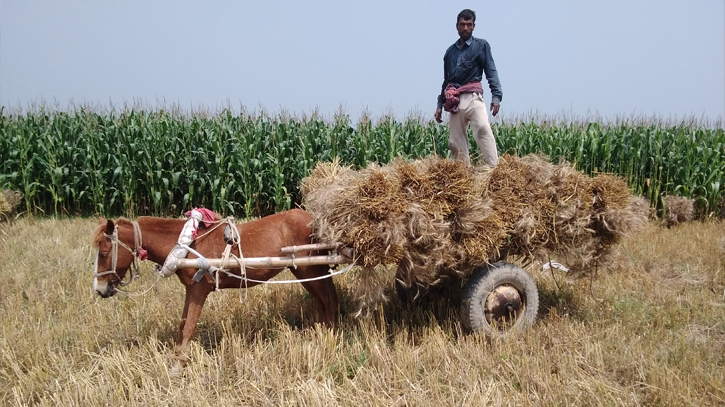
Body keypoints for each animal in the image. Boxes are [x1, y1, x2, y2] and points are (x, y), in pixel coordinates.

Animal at [92, 209, 338, 358]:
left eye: (104, 253)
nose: (100, 289)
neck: (187, 245)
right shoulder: (190, 289)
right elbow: (182, 323)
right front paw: (176, 354)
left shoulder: (199, 289)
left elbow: (190, 325)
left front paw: (178, 364)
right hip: (305, 271)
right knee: (324, 300)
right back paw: (321, 331)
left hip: (308, 268)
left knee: (327, 299)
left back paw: (330, 334)